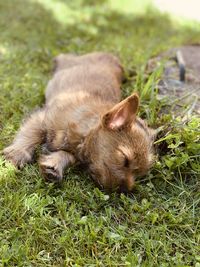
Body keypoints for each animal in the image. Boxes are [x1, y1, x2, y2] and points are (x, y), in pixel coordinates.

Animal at [3, 52, 155, 193]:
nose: (126, 190)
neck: (83, 134)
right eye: (125, 160)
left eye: (139, 174)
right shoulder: (41, 119)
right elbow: (29, 137)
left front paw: (54, 165)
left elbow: (66, 155)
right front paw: (17, 154)